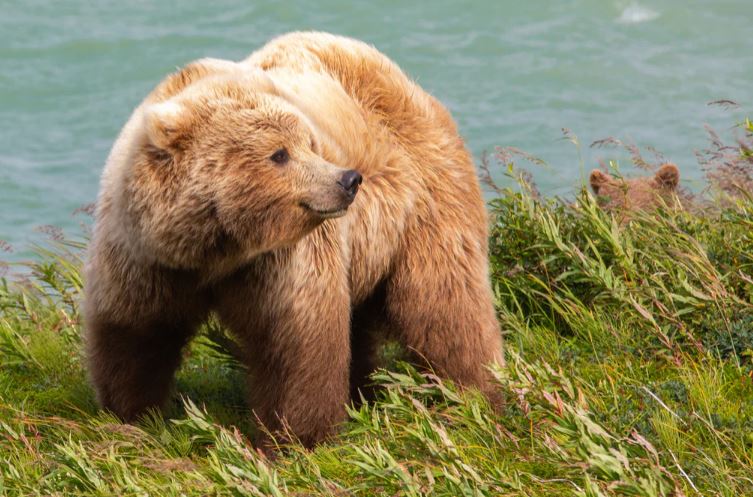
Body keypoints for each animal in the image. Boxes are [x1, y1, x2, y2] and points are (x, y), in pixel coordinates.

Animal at [85, 33, 502, 448]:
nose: (348, 180)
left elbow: (296, 345)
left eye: (310, 143)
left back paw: (473, 394)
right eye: (280, 153)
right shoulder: (146, 256)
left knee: (443, 302)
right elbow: (136, 332)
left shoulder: (282, 261)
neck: (218, 248)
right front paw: (132, 413)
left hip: (427, 197)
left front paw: (294, 438)